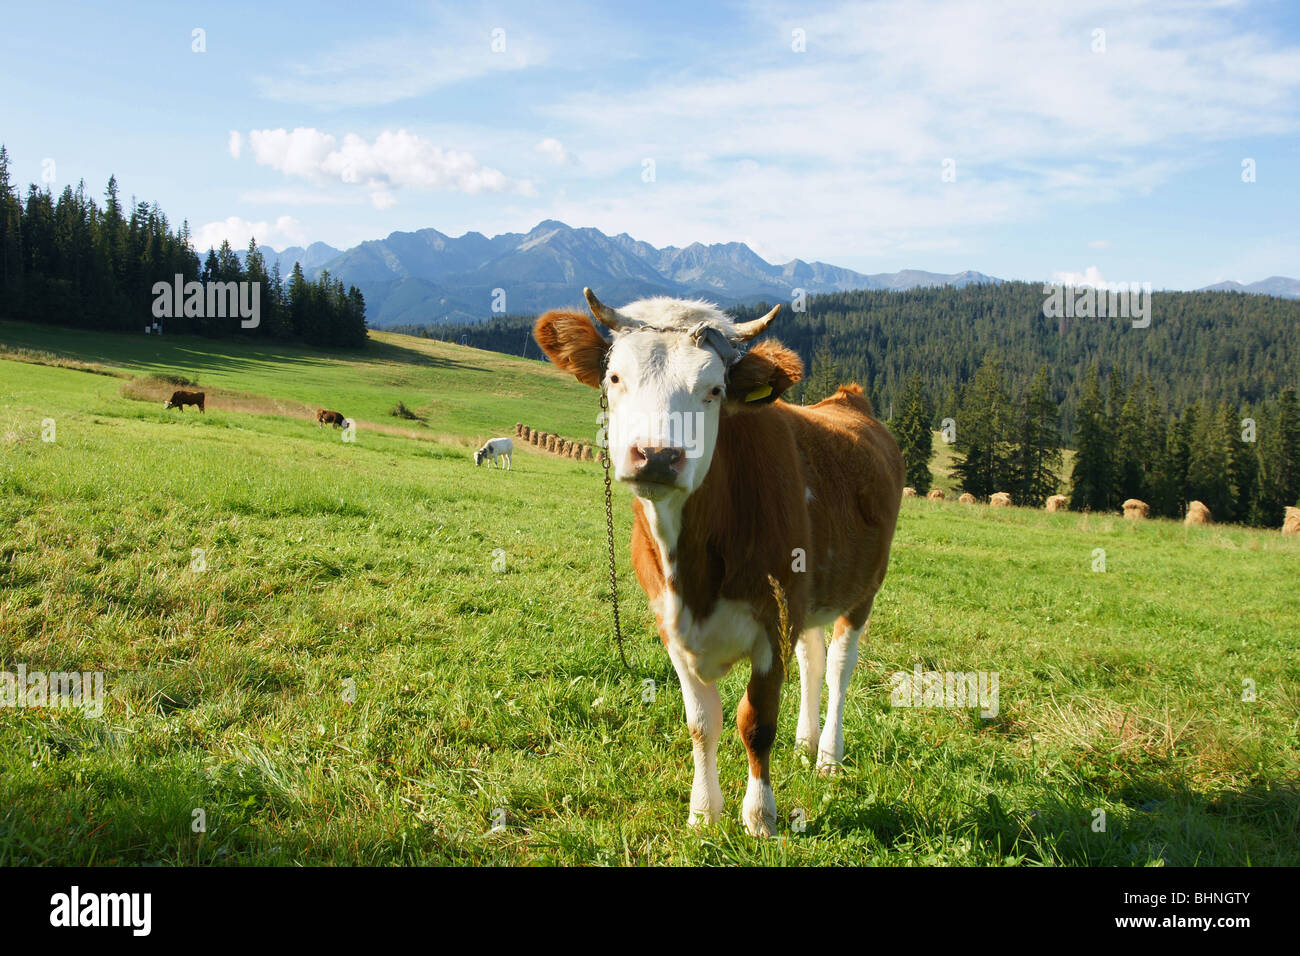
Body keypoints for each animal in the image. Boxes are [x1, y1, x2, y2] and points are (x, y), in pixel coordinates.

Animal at [534, 289, 903, 837]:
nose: (657, 455)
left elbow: (757, 722)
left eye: (713, 390)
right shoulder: (672, 623)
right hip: (810, 592)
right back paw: (806, 742)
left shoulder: (774, 620)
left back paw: (828, 757)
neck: (693, 572)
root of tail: (847, 398)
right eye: (615, 377)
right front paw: (704, 811)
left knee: (839, 666)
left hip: (862, 590)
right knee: (813, 660)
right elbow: (702, 723)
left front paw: (760, 816)